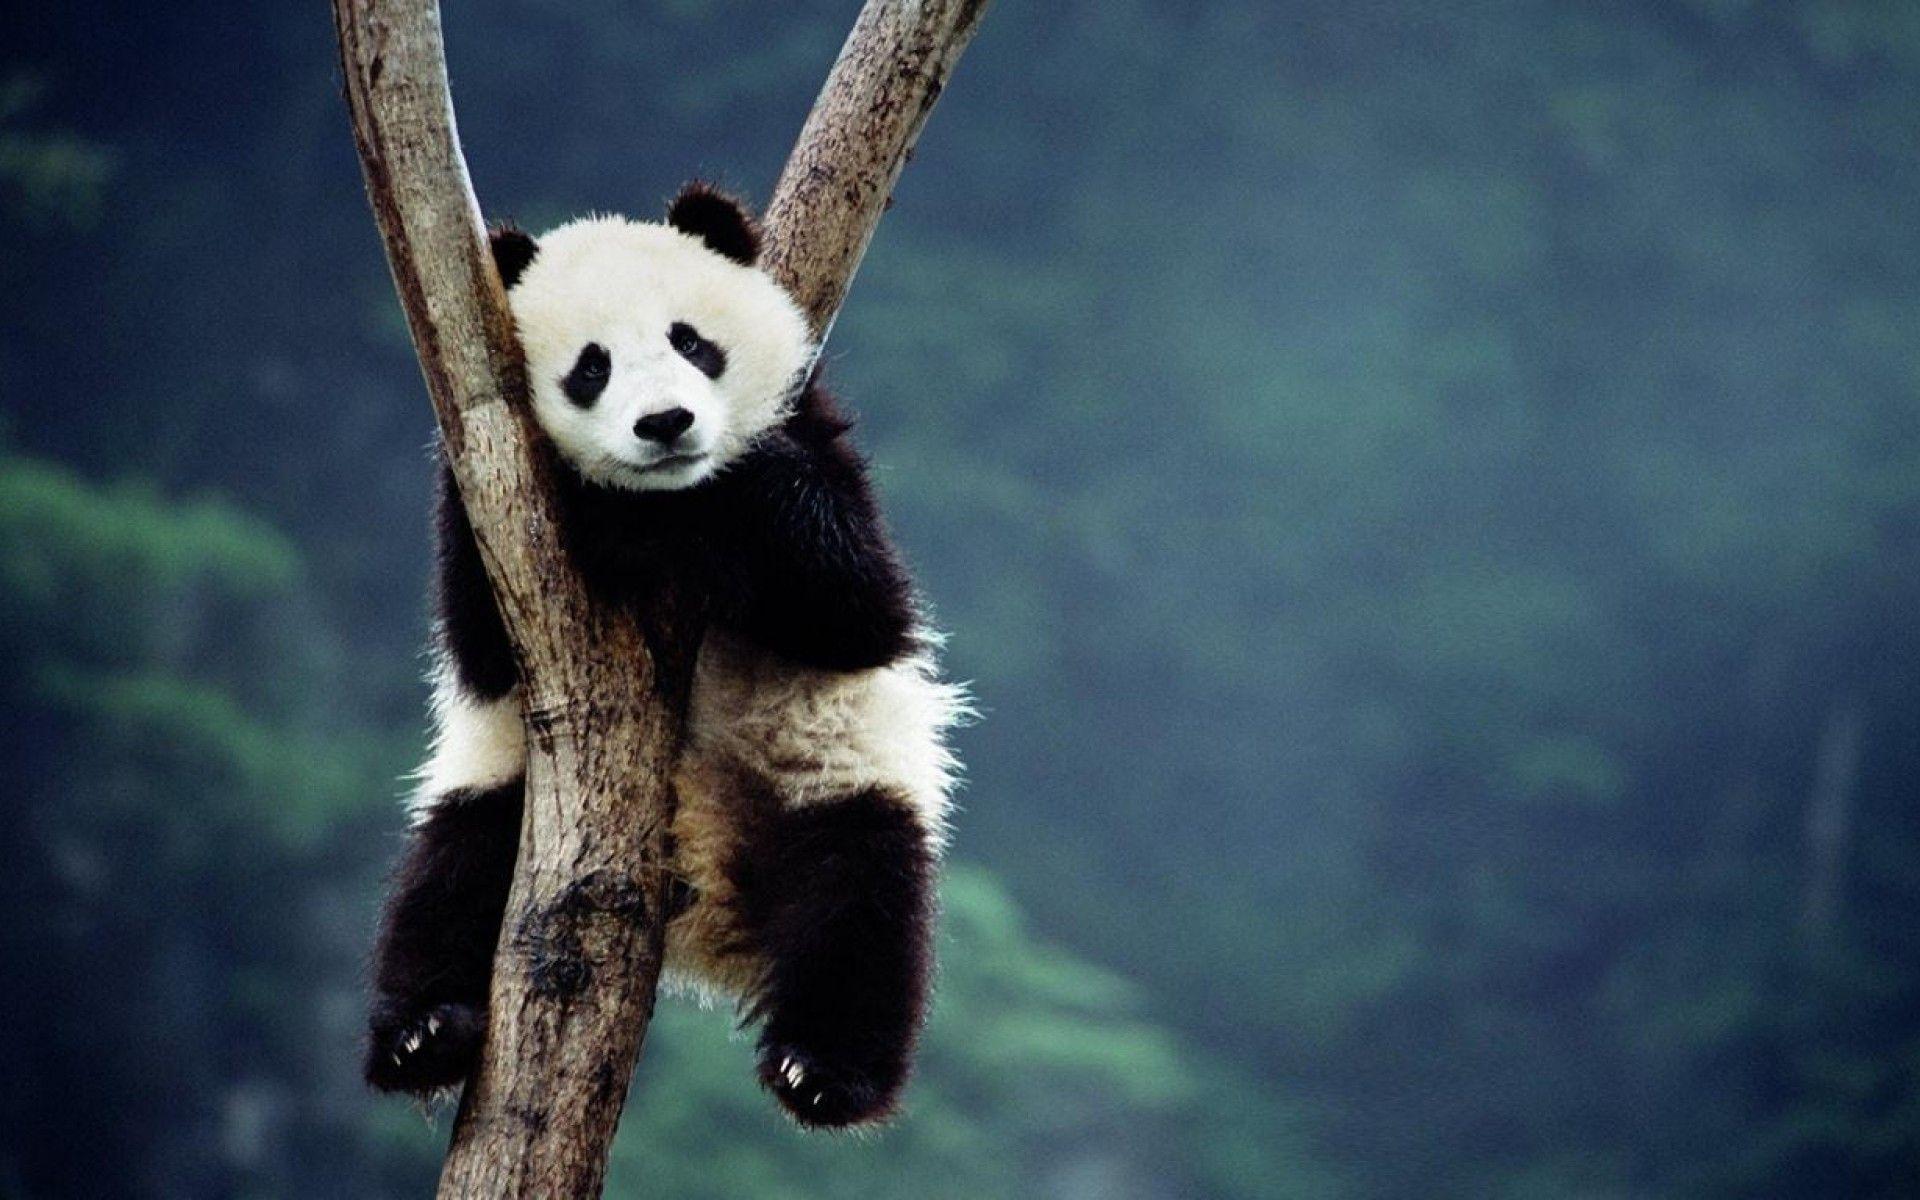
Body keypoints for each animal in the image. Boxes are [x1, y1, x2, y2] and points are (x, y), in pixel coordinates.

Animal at [364, 182, 965, 1129]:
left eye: (691, 342)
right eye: (591, 368)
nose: (667, 424)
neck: (671, 503)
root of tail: (708, 909)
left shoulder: (818, 439)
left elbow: (859, 606)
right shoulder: (490, 496)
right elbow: (483, 647)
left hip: (834, 778)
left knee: (862, 911)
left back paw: (821, 1071)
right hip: (505, 799)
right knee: (447, 880)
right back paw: (423, 1034)